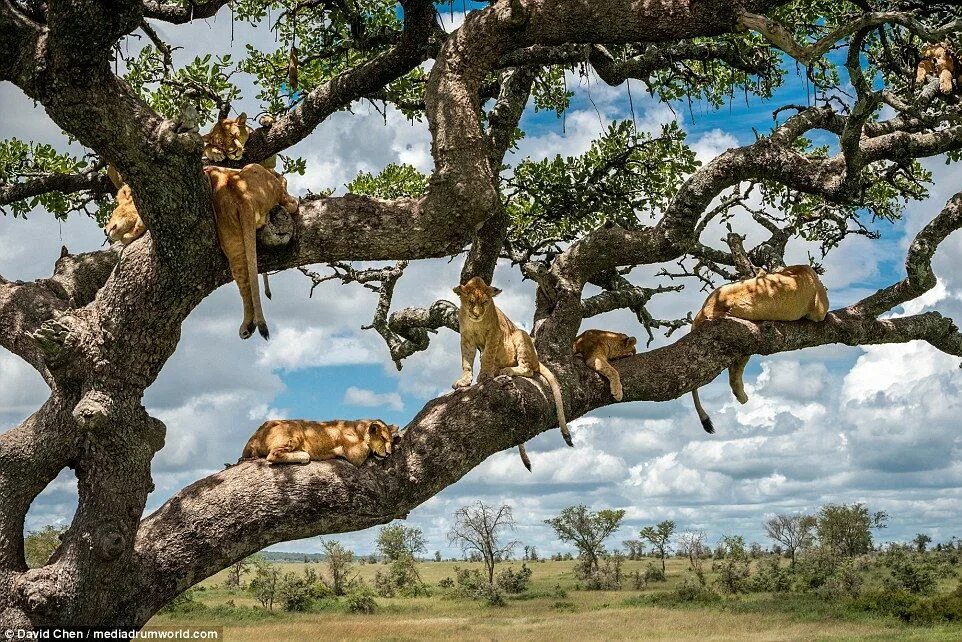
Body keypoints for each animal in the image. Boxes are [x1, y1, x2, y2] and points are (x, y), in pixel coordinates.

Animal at [242, 418, 404, 462]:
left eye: (389, 440)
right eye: (382, 438)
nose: (389, 453)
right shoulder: (355, 454)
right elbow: (365, 449)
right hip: (294, 429)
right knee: (272, 455)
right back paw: (303, 455)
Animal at [452, 276, 568, 470]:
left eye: (485, 302)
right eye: (471, 302)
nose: (477, 314)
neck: (475, 323)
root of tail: (537, 359)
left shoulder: (494, 334)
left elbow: (487, 356)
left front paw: (484, 376)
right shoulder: (466, 338)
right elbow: (466, 362)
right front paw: (464, 381)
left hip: (520, 335)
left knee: (528, 369)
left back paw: (505, 370)